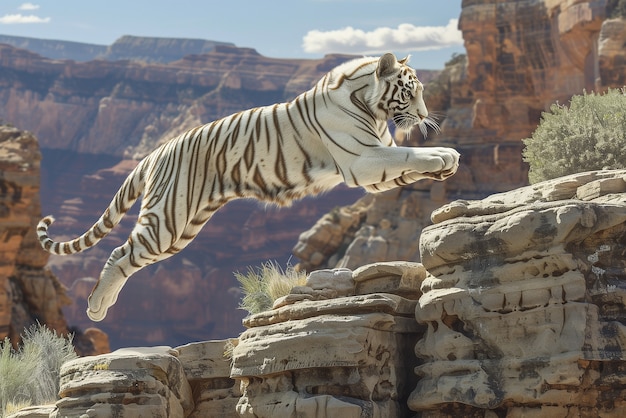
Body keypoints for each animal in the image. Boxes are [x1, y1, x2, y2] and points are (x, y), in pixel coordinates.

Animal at [37, 52, 458, 320]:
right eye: (410, 91)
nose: (425, 115)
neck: (371, 107)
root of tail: (156, 151)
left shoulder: (377, 161)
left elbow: (408, 162)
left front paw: (445, 160)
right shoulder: (362, 160)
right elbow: (407, 155)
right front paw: (442, 155)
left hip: (182, 228)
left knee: (128, 255)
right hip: (167, 221)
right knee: (119, 253)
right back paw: (96, 306)